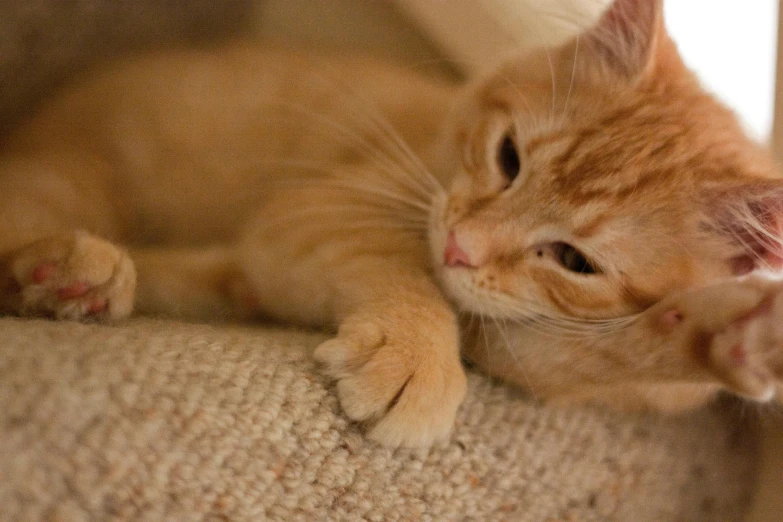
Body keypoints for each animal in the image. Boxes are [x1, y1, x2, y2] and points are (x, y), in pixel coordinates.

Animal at [0, 0, 780, 444]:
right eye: (508, 157)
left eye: (574, 260)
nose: (462, 247)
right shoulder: (316, 212)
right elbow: (402, 273)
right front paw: (417, 352)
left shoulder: (529, 347)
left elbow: (588, 357)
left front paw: (724, 334)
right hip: (75, 174)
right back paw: (67, 269)